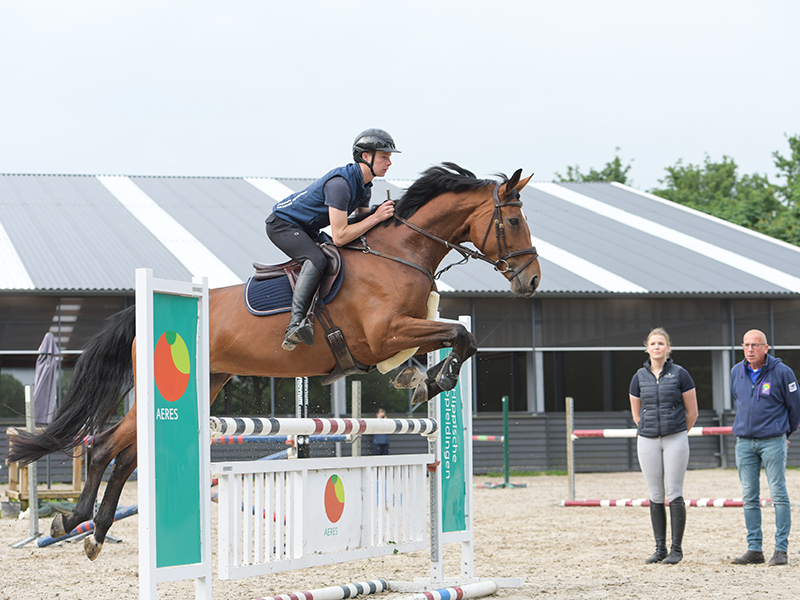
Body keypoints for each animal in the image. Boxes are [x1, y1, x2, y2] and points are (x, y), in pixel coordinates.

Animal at [6, 162, 540, 561]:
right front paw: (435, 380)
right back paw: (72, 521)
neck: (400, 253)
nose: (531, 281)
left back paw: (94, 534)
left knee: (125, 459)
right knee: (103, 449)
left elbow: (445, 340)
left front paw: (419, 378)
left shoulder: (398, 335)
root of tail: (143, 311)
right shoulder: (384, 333)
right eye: (514, 222)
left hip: (209, 384)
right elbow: (462, 334)